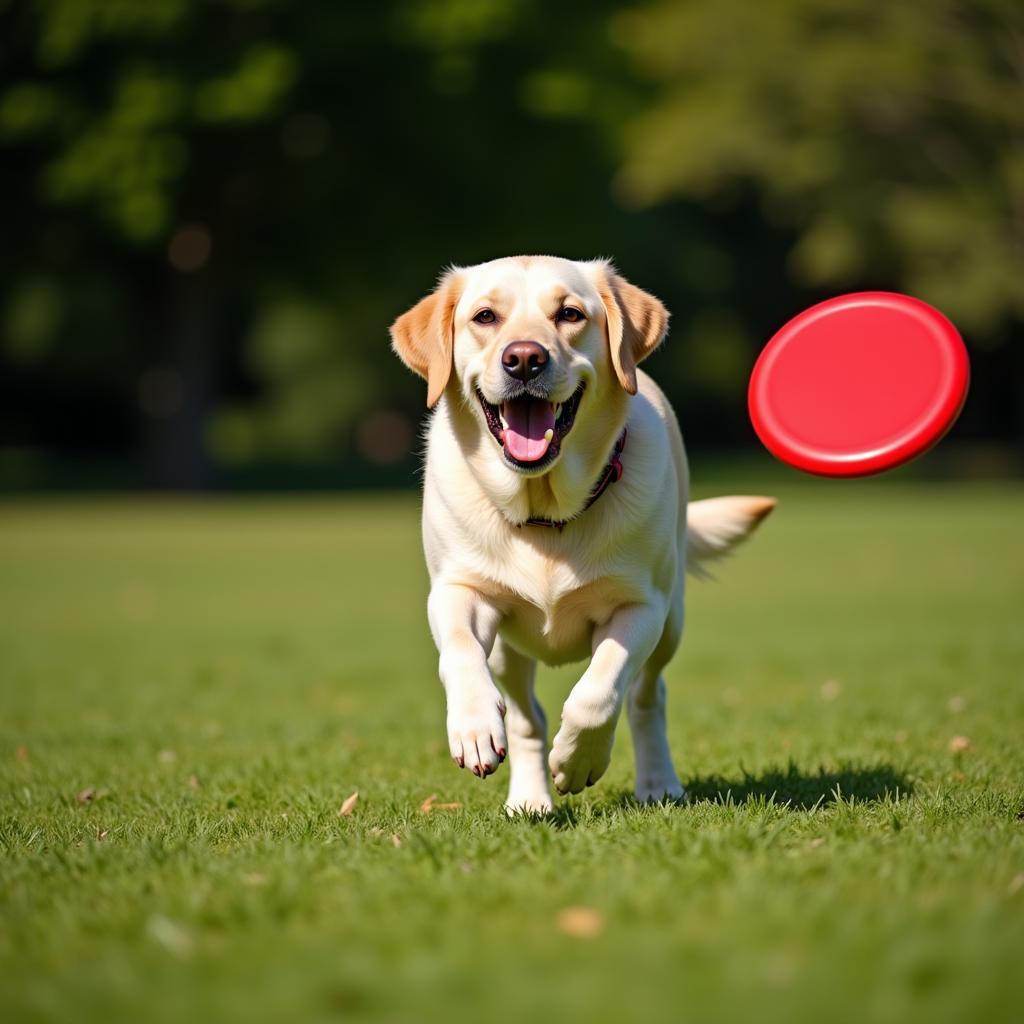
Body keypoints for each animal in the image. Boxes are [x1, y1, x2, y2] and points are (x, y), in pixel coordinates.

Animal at [387, 258, 770, 815]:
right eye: (485, 316)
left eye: (569, 314)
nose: (524, 359)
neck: (544, 513)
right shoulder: (457, 591)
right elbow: (459, 650)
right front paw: (474, 727)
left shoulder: (641, 607)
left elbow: (599, 689)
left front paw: (577, 760)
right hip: (508, 652)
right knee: (527, 717)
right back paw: (529, 800)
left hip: (671, 623)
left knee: (647, 698)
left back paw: (658, 782)